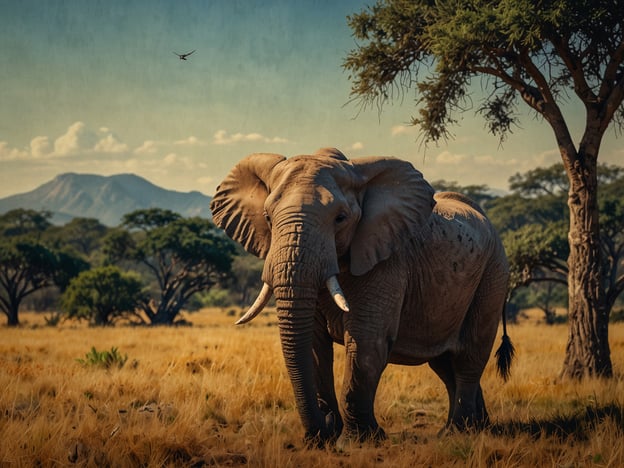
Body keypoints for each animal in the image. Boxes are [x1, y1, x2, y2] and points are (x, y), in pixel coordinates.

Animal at [212, 148, 516, 444]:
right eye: (267, 218)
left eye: (340, 218)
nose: (321, 429)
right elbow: (314, 345)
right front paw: (325, 439)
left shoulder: (387, 260)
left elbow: (366, 341)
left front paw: (358, 441)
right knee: (443, 361)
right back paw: (476, 428)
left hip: (493, 273)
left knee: (469, 354)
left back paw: (458, 432)